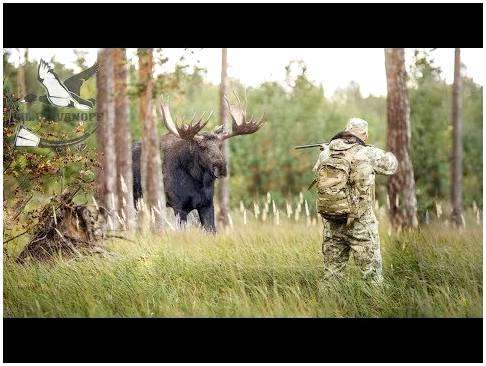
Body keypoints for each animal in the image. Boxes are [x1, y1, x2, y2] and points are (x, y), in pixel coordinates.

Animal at [132, 94, 266, 232]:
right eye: (202, 147)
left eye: (220, 146)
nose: (221, 167)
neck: (198, 182)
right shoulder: (178, 206)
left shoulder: (207, 204)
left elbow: (211, 230)